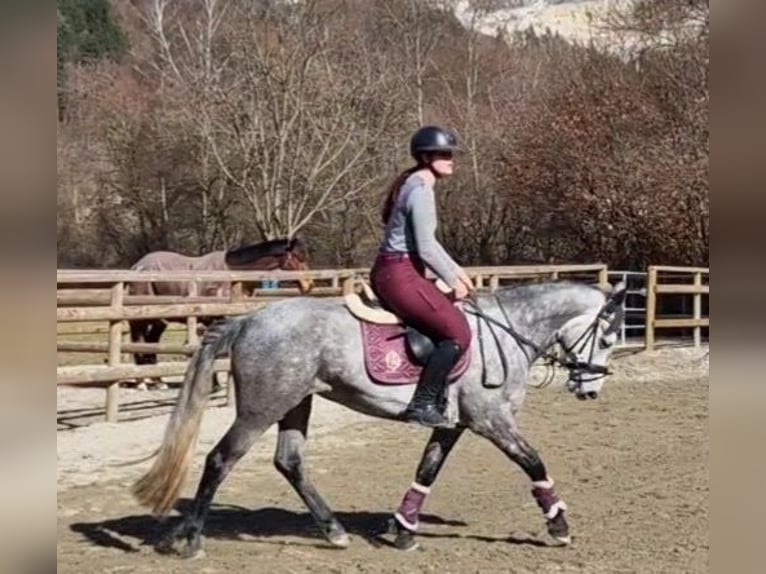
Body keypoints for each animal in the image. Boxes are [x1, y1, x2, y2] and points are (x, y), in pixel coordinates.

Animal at [129, 236, 312, 390]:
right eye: (298, 258)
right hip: (141, 319)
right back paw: (141, 382)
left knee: (151, 342)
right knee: (138, 342)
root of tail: (137, 266)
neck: (232, 276)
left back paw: (158, 382)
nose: (309, 284)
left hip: (159, 320)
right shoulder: (213, 320)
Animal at [135, 280, 628, 560]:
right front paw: (559, 526)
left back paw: (334, 532)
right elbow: (534, 462)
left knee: (290, 461)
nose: (590, 389)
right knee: (222, 459)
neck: (505, 334)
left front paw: (402, 529)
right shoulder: (493, 421)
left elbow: (427, 470)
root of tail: (249, 320)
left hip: (296, 403)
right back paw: (191, 540)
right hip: (264, 406)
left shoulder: (453, 424)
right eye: (606, 337)